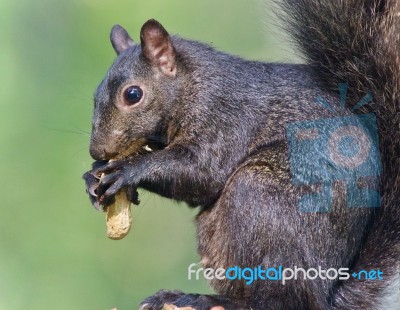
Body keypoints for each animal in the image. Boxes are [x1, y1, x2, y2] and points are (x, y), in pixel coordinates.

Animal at [83, 0, 398, 310]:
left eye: (133, 94)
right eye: (95, 95)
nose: (97, 150)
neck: (192, 84)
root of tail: (328, 293)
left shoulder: (225, 118)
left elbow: (201, 174)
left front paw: (128, 170)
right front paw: (93, 176)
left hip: (258, 197)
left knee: (279, 301)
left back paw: (208, 299)